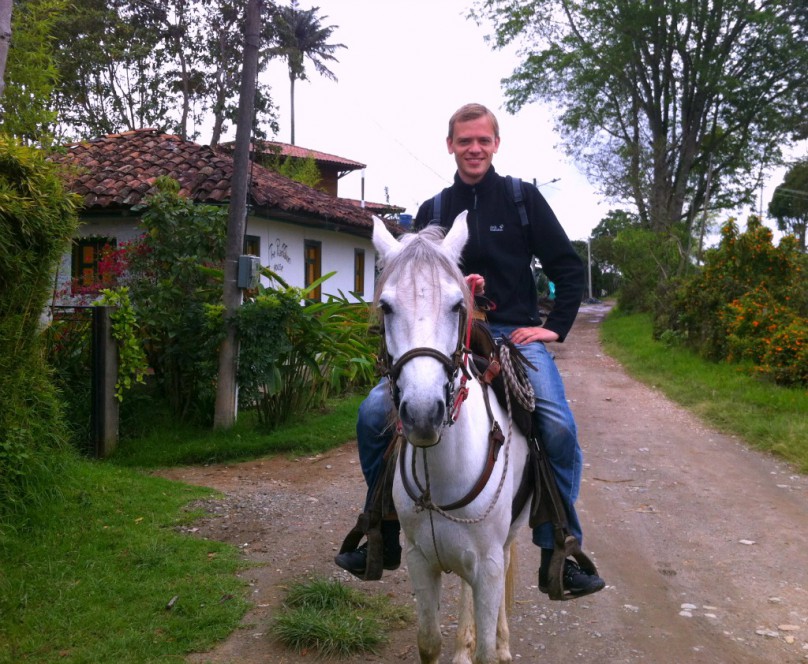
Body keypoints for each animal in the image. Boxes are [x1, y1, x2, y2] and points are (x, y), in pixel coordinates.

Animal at [370, 214, 532, 664]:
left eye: (458, 305)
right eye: (386, 307)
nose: (424, 414)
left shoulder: (488, 567)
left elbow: (487, 653)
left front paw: (492, 645)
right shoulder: (419, 559)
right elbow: (428, 641)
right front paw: (456, 646)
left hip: (508, 538)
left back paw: (503, 642)